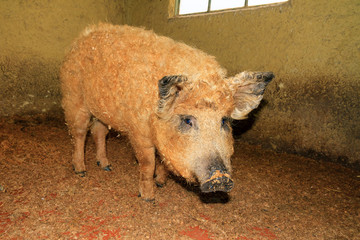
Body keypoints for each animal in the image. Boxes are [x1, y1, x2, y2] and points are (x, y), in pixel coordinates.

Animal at [60, 23, 272, 202]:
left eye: (224, 121)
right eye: (187, 120)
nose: (220, 179)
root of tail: (82, 36)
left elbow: (161, 160)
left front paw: (161, 183)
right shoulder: (139, 132)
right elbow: (147, 164)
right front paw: (148, 198)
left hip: (102, 110)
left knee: (99, 131)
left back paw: (106, 166)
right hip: (74, 97)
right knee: (79, 133)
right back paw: (81, 171)